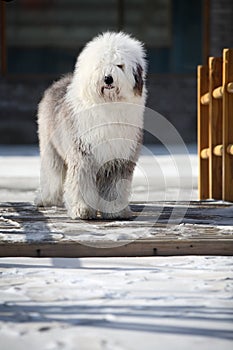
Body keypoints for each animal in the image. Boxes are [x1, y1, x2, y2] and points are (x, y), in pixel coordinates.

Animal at [35, 32, 147, 219]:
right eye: (100, 64)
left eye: (120, 65)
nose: (108, 78)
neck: (108, 104)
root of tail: (62, 80)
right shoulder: (83, 153)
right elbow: (81, 182)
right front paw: (83, 209)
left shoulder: (119, 157)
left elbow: (115, 186)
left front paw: (115, 210)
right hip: (51, 148)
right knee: (53, 175)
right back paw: (47, 199)